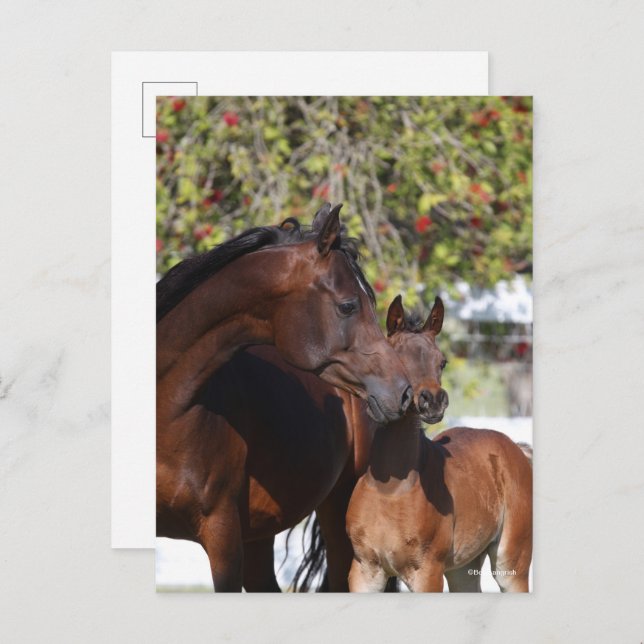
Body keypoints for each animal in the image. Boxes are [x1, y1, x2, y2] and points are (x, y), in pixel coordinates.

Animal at [346, 294, 533, 592]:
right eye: (397, 356)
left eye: (442, 361)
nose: (433, 400)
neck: (391, 489)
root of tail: (515, 448)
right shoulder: (364, 571)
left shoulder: (427, 572)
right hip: (462, 568)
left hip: (512, 562)